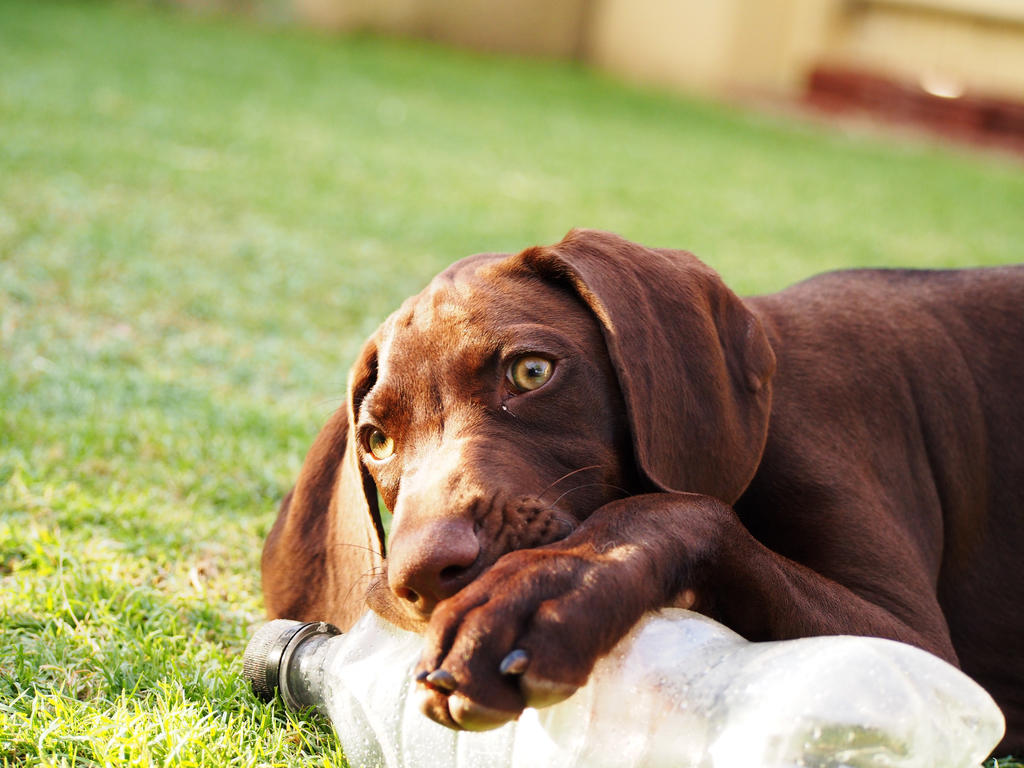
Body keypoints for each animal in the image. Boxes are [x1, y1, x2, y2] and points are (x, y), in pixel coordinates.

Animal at [260, 230, 1019, 757]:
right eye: (377, 441)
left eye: (531, 372)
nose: (420, 575)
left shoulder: (918, 652)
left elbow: (676, 508)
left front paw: (547, 590)